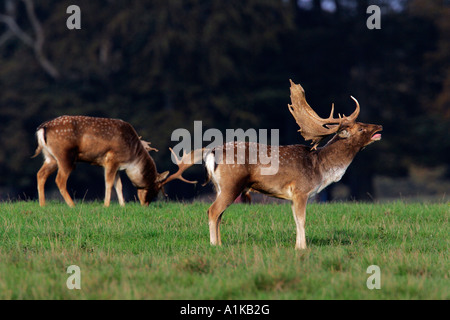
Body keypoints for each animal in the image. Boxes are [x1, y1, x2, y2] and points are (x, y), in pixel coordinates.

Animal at [33, 115, 197, 208]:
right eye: (155, 189)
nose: (145, 204)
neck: (132, 157)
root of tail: (42, 129)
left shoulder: (118, 166)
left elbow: (119, 185)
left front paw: (122, 205)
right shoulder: (111, 159)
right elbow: (109, 182)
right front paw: (106, 205)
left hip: (50, 157)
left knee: (40, 174)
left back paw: (42, 205)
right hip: (65, 156)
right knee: (59, 180)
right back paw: (73, 205)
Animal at [204, 80, 384, 250]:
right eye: (360, 128)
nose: (379, 126)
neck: (321, 168)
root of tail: (212, 153)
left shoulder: (293, 196)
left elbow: (296, 220)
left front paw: (297, 246)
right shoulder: (301, 190)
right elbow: (302, 220)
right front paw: (303, 247)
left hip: (220, 187)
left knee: (219, 214)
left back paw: (219, 243)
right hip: (231, 184)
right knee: (213, 211)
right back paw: (213, 245)